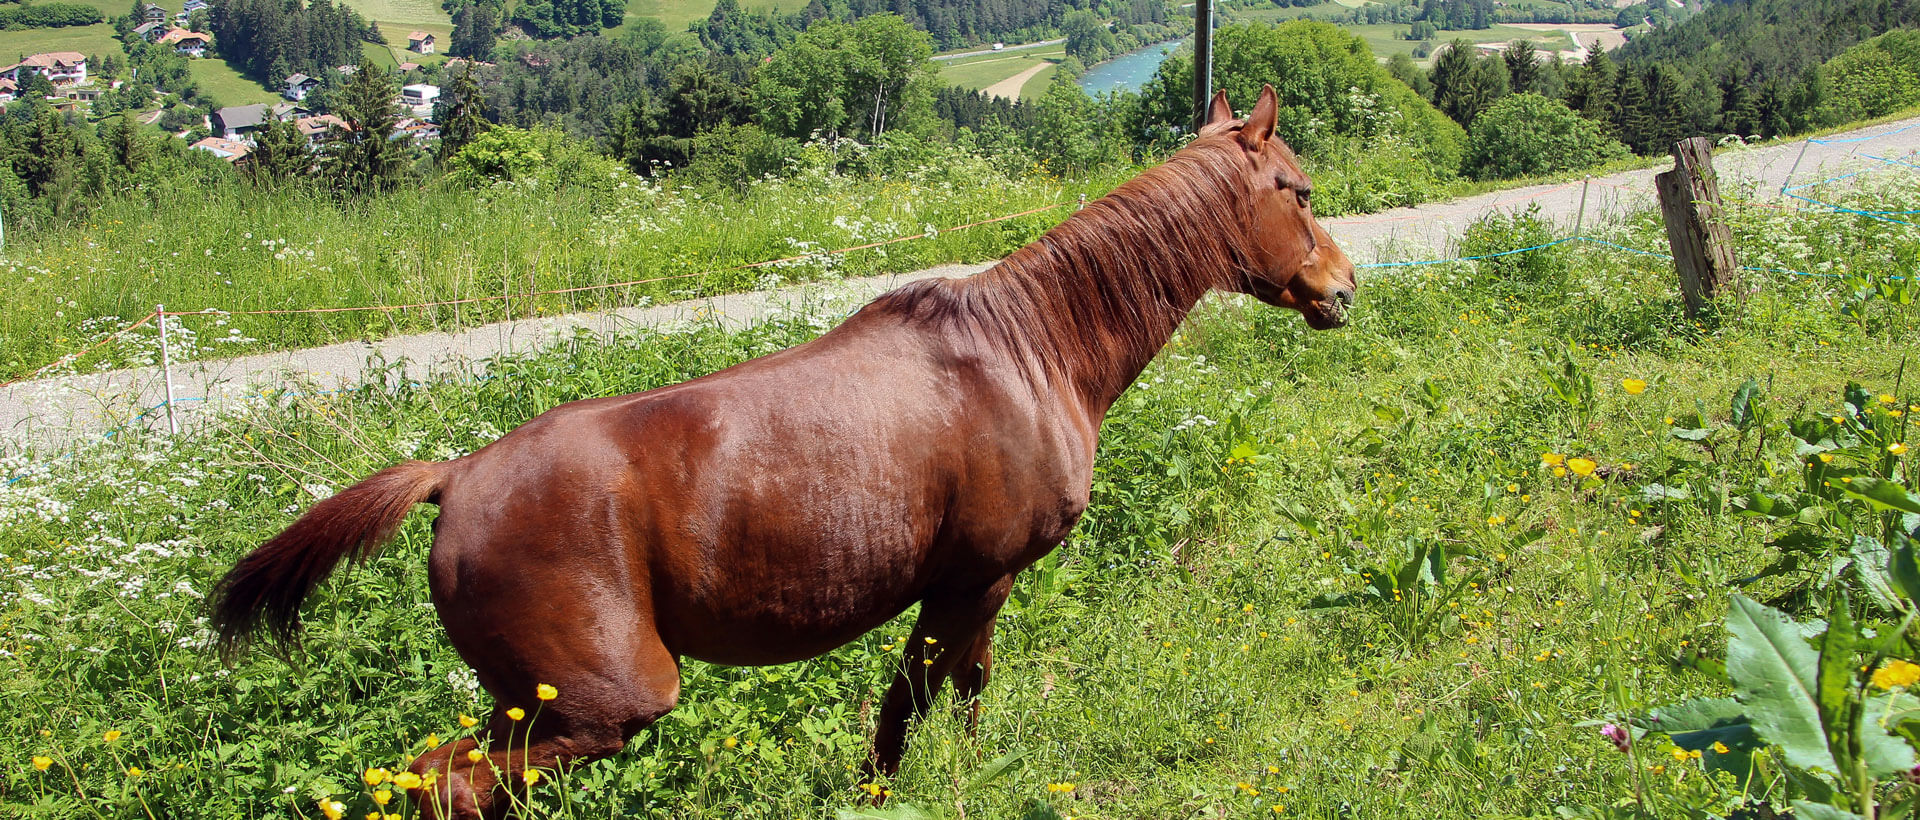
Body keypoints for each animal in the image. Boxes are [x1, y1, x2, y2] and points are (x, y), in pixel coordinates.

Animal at [214, 86, 1351, 818]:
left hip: (528, 703)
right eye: (1295, 188)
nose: (1343, 286)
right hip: (599, 703)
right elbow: (929, 695)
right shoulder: (974, 580)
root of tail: (454, 480)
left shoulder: (969, 585)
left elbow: (941, 694)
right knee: (453, 782)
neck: (1029, 351)